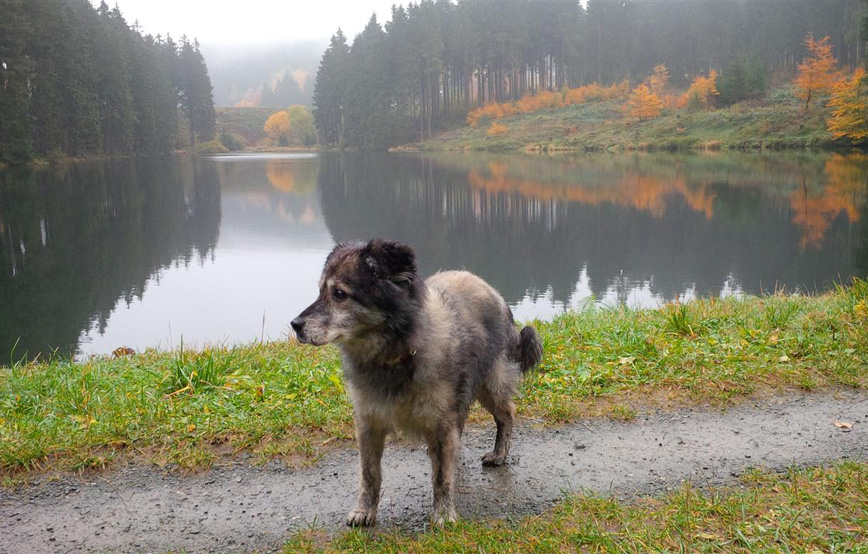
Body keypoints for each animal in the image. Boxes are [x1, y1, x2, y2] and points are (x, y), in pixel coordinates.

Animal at [290, 239, 544, 524]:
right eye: (321, 291)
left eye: (340, 294)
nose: (295, 325)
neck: (395, 355)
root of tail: (495, 294)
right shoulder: (368, 422)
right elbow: (369, 473)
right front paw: (365, 510)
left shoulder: (441, 419)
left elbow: (441, 476)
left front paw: (443, 514)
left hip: (490, 383)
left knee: (506, 414)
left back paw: (500, 453)